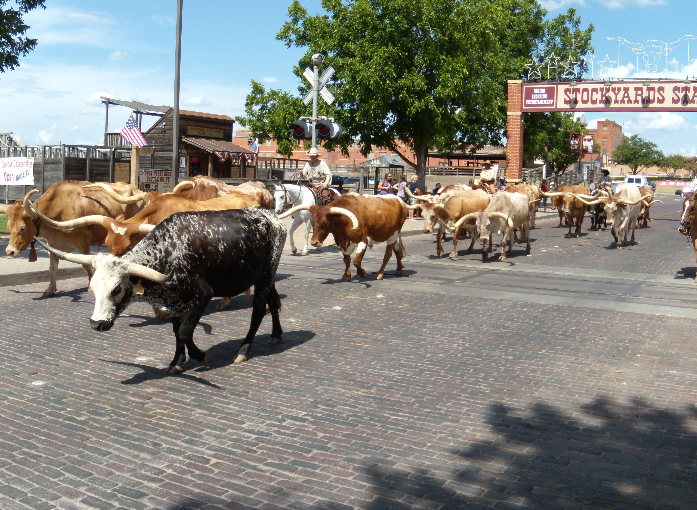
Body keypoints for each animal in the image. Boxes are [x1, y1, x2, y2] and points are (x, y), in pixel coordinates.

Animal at [4, 182, 145, 298]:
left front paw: (90, 286)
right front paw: (50, 290)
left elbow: (86, 264)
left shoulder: (84, 243)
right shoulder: (52, 244)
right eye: (8, 227)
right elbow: (53, 267)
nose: (10, 251)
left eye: (23, 228)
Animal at [34, 207, 286, 374]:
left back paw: (243, 350)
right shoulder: (174, 301)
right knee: (273, 302)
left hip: (265, 276)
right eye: (93, 288)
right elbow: (176, 331)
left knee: (258, 310)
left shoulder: (203, 294)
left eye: (117, 289)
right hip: (265, 275)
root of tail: (272, 217)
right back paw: (276, 335)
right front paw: (176, 362)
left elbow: (184, 331)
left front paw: (200, 355)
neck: (169, 250)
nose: (97, 324)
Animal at [279, 194, 408, 282]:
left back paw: (380, 274)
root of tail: (400, 201)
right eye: (312, 221)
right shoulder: (341, 243)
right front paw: (346, 276)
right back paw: (399, 269)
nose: (314, 242)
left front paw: (362, 273)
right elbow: (346, 260)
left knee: (387, 255)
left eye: (325, 223)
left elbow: (356, 261)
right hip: (390, 235)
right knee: (397, 250)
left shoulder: (363, 241)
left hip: (393, 235)